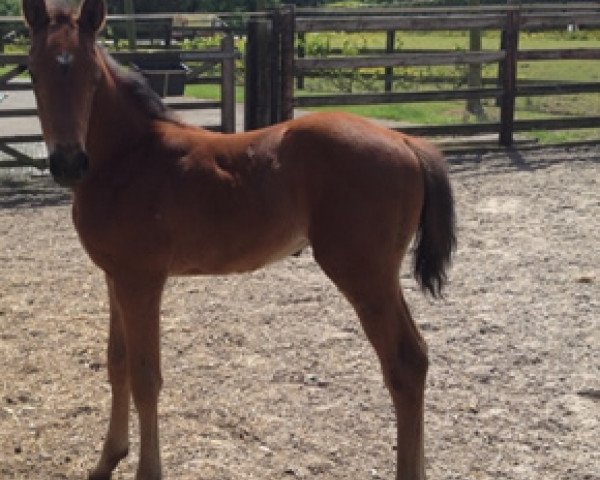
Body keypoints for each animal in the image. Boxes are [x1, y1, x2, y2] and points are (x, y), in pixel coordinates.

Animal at [22, 1, 454, 478]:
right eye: (33, 73)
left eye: (93, 77)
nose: (68, 163)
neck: (128, 157)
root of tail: (406, 139)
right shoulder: (114, 276)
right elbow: (116, 364)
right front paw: (107, 459)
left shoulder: (142, 280)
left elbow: (145, 377)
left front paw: (147, 469)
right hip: (379, 275)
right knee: (416, 358)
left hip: (364, 273)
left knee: (404, 362)